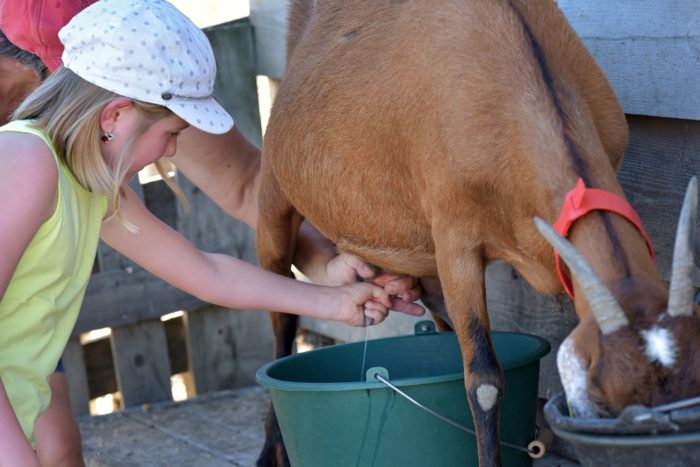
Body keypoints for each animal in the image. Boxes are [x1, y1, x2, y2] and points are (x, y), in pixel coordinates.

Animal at [254, 1, 700, 466]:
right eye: (607, 403)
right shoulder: (455, 241)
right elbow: (483, 381)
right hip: (274, 195)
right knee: (280, 309)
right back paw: (271, 449)